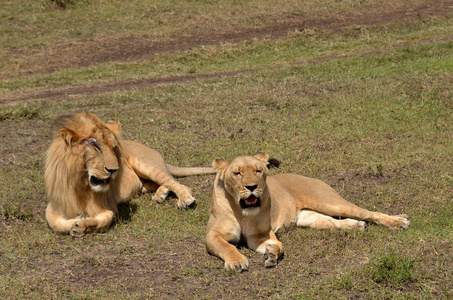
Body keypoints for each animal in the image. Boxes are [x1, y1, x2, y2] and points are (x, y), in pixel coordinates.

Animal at [46, 112, 215, 237]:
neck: (81, 185)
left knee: (177, 183)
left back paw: (185, 199)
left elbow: (105, 220)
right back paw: (161, 194)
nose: (114, 170)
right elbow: (54, 223)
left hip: (146, 165)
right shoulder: (56, 203)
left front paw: (82, 225)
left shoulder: (107, 204)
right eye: (94, 146)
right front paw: (77, 221)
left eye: (114, 148)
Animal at [206, 152, 410, 272]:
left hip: (331, 202)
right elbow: (227, 246)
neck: (243, 213)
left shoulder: (261, 234)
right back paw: (358, 226)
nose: (251, 187)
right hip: (310, 218)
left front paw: (271, 254)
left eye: (258, 171)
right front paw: (238, 261)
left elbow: (279, 245)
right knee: (333, 222)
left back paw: (399, 221)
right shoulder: (212, 235)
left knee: (367, 212)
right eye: (237, 173)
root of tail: (307, 177)